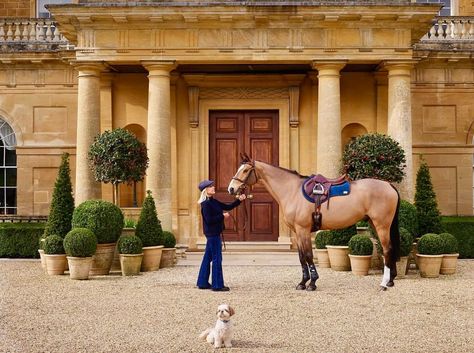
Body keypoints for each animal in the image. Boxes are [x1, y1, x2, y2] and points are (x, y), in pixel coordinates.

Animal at [228, 153, 398, 290]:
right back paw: (391, 281)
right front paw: (302, 283)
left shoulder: (303, 229)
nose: (231, 189)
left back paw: (384, 283)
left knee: (387, 249)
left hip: (382, 225)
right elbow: (301, 257)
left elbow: (309, 255)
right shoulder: (297, 232)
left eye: (245, 170)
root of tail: (388, 185)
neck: (292, 191)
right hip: (375, 224)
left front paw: (312, 283)